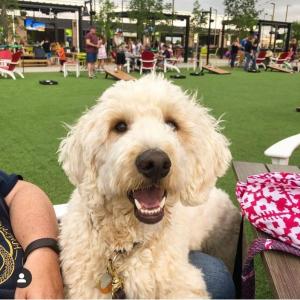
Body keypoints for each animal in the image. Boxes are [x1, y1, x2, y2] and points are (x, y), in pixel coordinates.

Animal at [58, 74, 240, 298]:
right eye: (119, 126)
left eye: (172, 124)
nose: (156, 162)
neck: (125, 248)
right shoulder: (84, 287)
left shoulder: (182, 281)